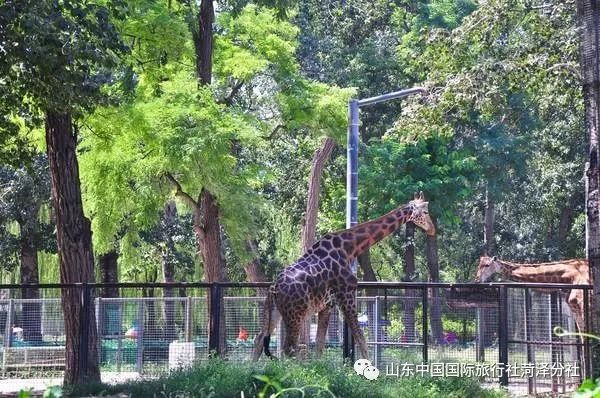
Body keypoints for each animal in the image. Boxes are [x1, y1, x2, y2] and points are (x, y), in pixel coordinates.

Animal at [253, 193, 436, 360]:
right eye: (426, 211)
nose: (433, 230)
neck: (349, 249)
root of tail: (274, 287)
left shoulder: (328, 305)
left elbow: (320, 346)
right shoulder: (346, 295)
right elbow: (360, 338)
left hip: (275, 311)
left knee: (260, 338)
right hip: (295, 314)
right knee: (289, 348)